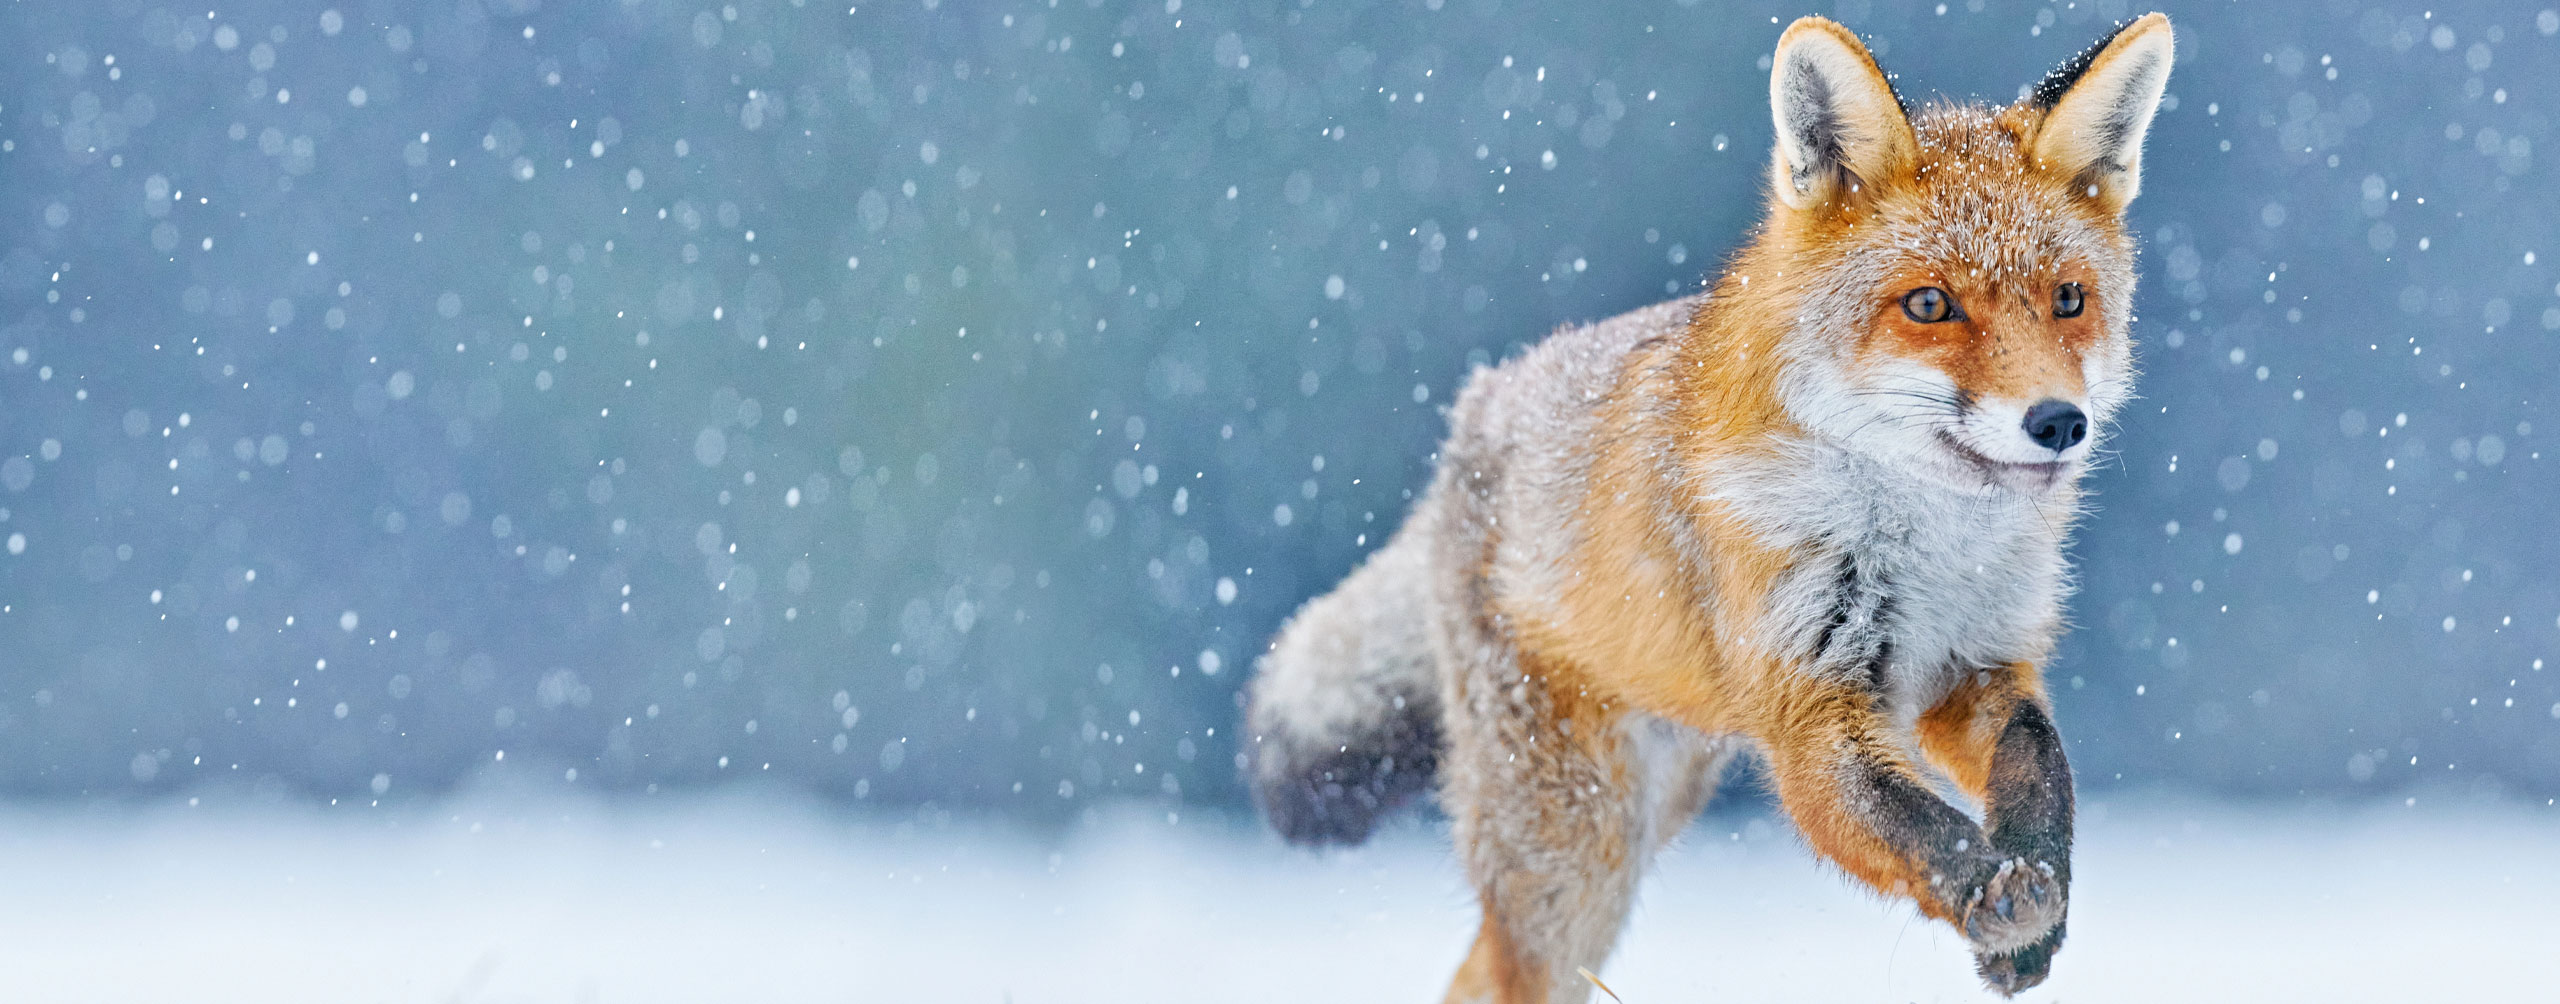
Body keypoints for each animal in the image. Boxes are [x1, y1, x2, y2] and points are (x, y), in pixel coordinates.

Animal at [1249, 11, 2170, 998]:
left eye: (2069, 300)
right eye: (1930, 305)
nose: (2059, 423)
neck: (1930, 549)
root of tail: (1475, 414)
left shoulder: (1981, 664)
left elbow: (2042, 771)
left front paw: (2037, 902)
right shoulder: (1810, 711)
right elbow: (1912, 822)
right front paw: (1992, 896)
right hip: (1575, 850)